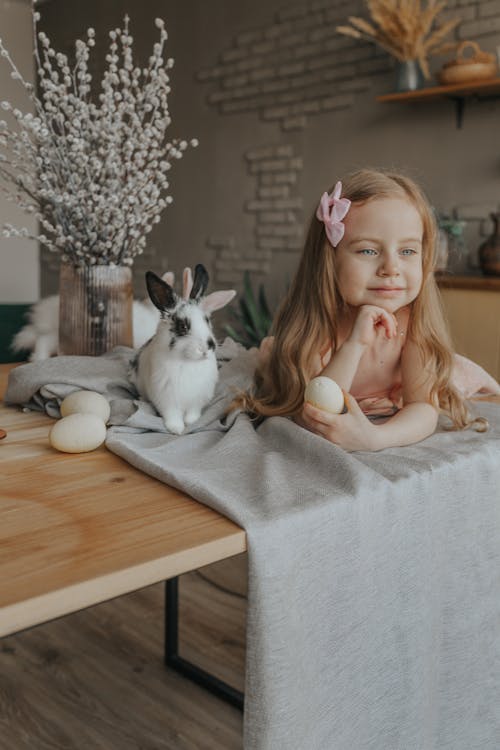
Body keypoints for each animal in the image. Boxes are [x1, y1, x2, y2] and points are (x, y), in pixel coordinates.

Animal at [131, 264, 236, 434]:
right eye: (183, 326)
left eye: (207, 320)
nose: (209, 346)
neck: (189, 362)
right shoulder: (166, 399)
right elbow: (172, 414)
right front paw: (177, 429)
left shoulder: (197, 399)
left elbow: (193, 412)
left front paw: (191, 422)